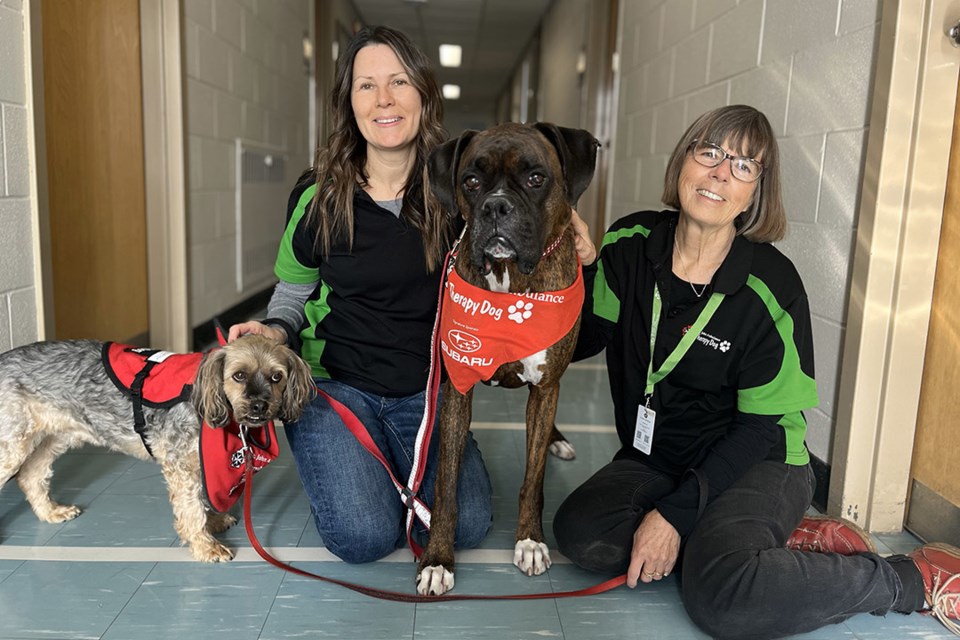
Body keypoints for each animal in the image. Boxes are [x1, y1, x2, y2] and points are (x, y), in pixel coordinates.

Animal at [0, 336, 312, 560]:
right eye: (238, 376)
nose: (259, 406)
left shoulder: (196, 461)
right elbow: (191, 507)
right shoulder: (181, 464)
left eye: (276, 377)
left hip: (54, 436)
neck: (205, 396)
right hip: (13, 445)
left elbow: (201, 499)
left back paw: (50, 512)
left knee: (30, 476)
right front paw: (204, 545)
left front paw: (211, 522)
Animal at [414, 121, 596, 596]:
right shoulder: (456, 390)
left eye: (535, 178)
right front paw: (437, 560)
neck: (510, 280)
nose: (496, 206)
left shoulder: (546, 387)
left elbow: (532, 480)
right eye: (471, 182)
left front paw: (530, 541)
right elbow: (446, 487)